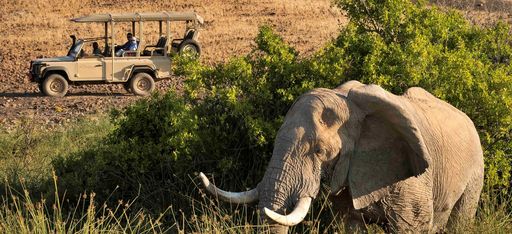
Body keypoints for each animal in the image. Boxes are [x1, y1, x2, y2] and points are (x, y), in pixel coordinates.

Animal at [199, 80, 484, 232]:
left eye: (319, 151)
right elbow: (350, 224)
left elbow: (410, 227)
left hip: (476, 171)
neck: (348, 102)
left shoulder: (411, 181)